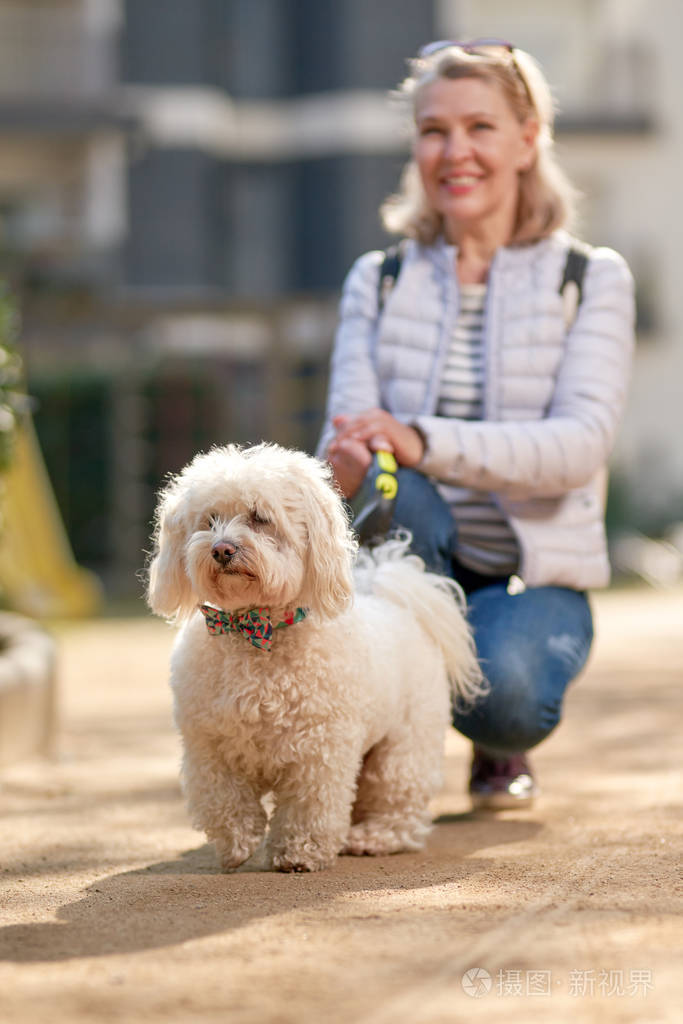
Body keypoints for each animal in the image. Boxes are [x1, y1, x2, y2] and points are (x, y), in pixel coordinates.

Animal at [147, 442, 483, 872]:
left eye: (260, 518)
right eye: (210, 520)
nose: (221, 549)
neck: (257, 632)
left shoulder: (319, 752)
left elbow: (309, 807)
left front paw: (299, 852)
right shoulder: (209, 746)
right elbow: (223, 799)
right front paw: (237, 841)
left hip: (404, 747)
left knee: (399, 803)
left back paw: (375, 837)